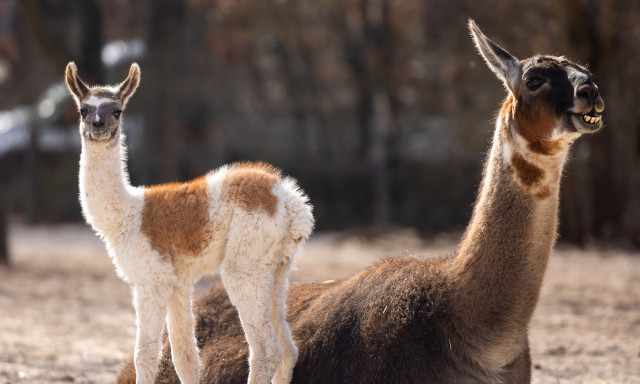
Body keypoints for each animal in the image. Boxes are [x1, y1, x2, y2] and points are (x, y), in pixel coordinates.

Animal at [65, 61, 316, 382]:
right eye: (83, 109)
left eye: (117, 110)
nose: (98, 126)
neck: (127, 212)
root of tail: (288, 198)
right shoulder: (178, 282)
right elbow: (185, 357)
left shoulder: (152, 279)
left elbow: (145, 357)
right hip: (278, 268)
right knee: (288, 352)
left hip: (246, 262)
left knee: (266, 352)